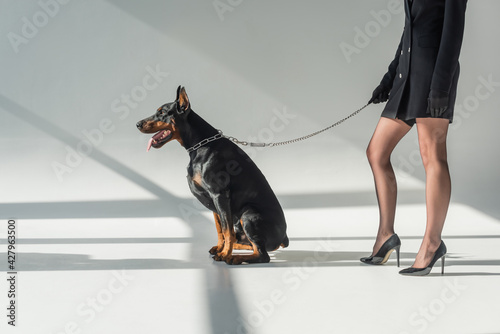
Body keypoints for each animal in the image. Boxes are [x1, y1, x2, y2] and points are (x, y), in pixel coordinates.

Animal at [137, 87, 290, 264]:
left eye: (162, 112)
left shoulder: (219, 195)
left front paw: (225, 254)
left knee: (262, 254)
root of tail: (284, 237)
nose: (137, 124)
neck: (200, 145)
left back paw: (235, 258)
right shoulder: (213, 200)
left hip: (248, 213)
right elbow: (221, 229)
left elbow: (226, 230)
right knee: (249, 244)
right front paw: (221, 248)